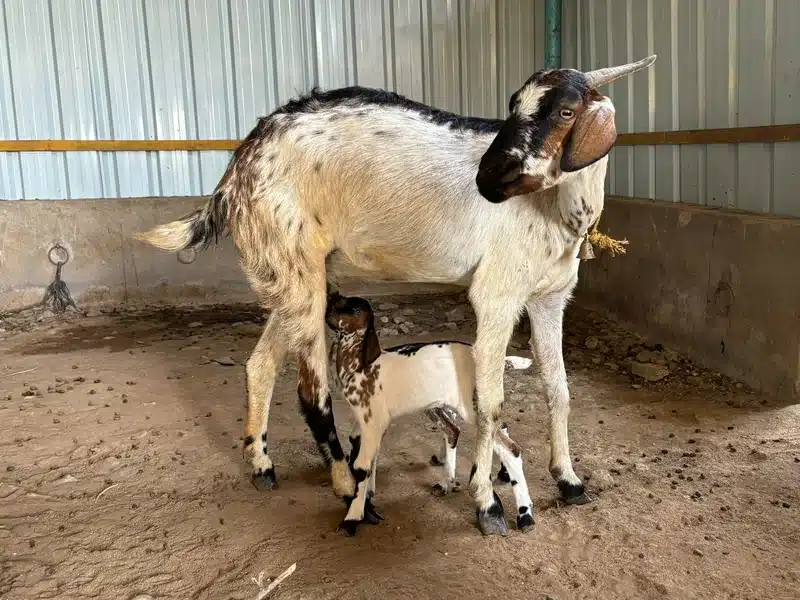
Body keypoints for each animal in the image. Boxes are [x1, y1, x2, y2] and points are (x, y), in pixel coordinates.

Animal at [325, 293, 534, 536]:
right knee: (471, 431)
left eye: (358, 311)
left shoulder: (374, 421)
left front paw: (353, 518)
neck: (361, 366)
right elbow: (363, 452)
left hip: (472, 408)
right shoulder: (365, 422)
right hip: (443, 404)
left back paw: (522, 515)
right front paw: (368, 498)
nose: (328, 307)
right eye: (340, 302)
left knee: (508, 446)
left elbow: (362, 465)